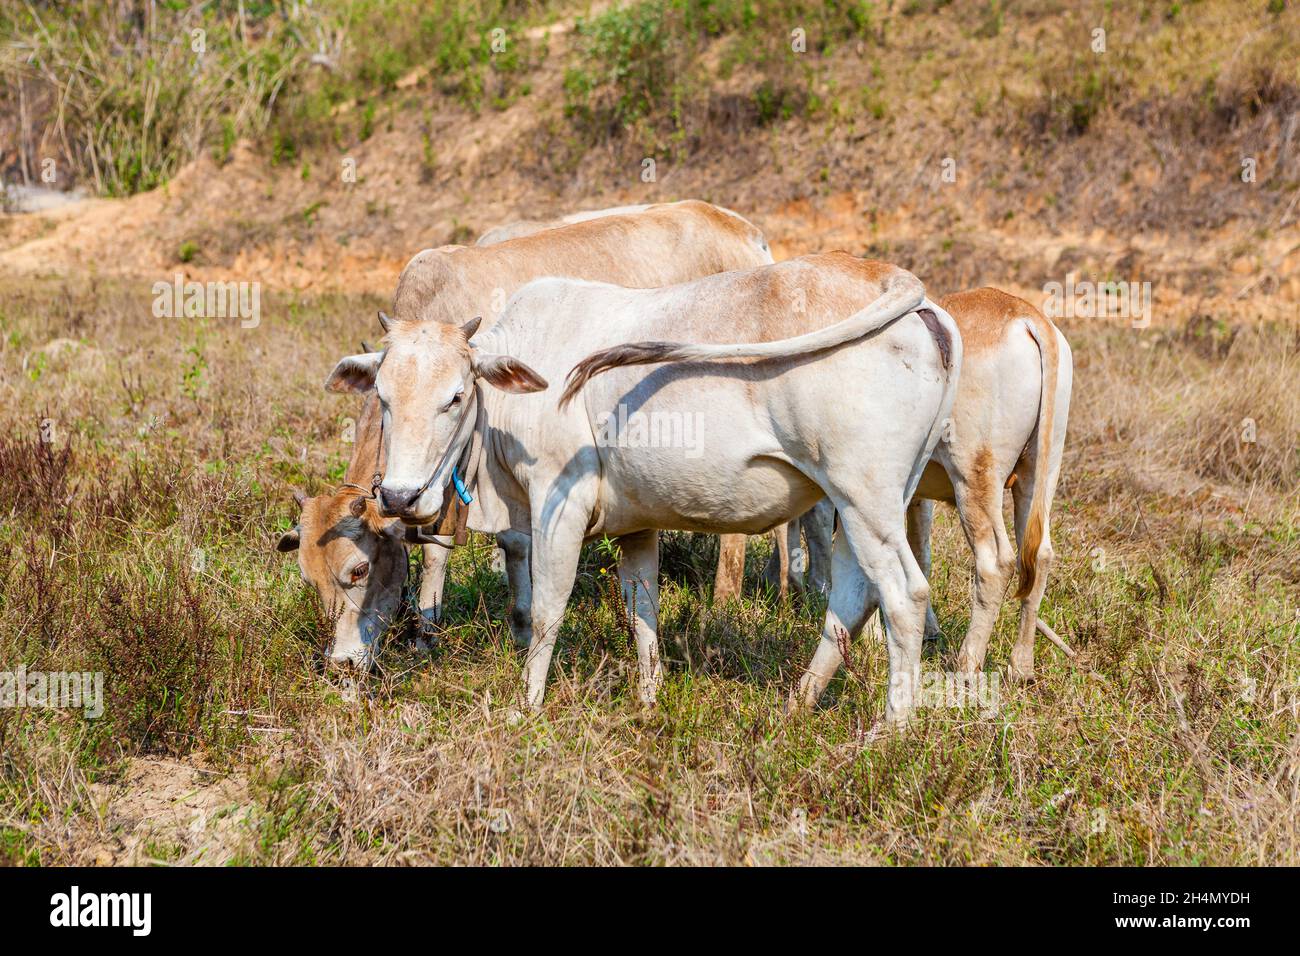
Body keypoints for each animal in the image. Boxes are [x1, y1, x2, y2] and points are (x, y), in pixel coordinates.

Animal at [274, 199, 769, 671]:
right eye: (309, 579)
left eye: (359, 570)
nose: (341, 663)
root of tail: (747, 233)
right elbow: (509, 544)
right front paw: (515, 625)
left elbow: (445, 551)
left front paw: (427, 634)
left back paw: (726, 601)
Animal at [327, 251, 967, 723]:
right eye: (383, 395)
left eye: (456, 396)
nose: (400, 497)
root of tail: (893, 282)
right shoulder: (634, 523)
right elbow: (641, 608)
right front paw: (649, 698)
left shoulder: (559, 503)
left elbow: (546, 610)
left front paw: (525, 707)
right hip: (862, 506)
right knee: (853, 597)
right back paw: (797, 705)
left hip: (865, 500)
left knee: (905, 596)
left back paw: (890, 729)